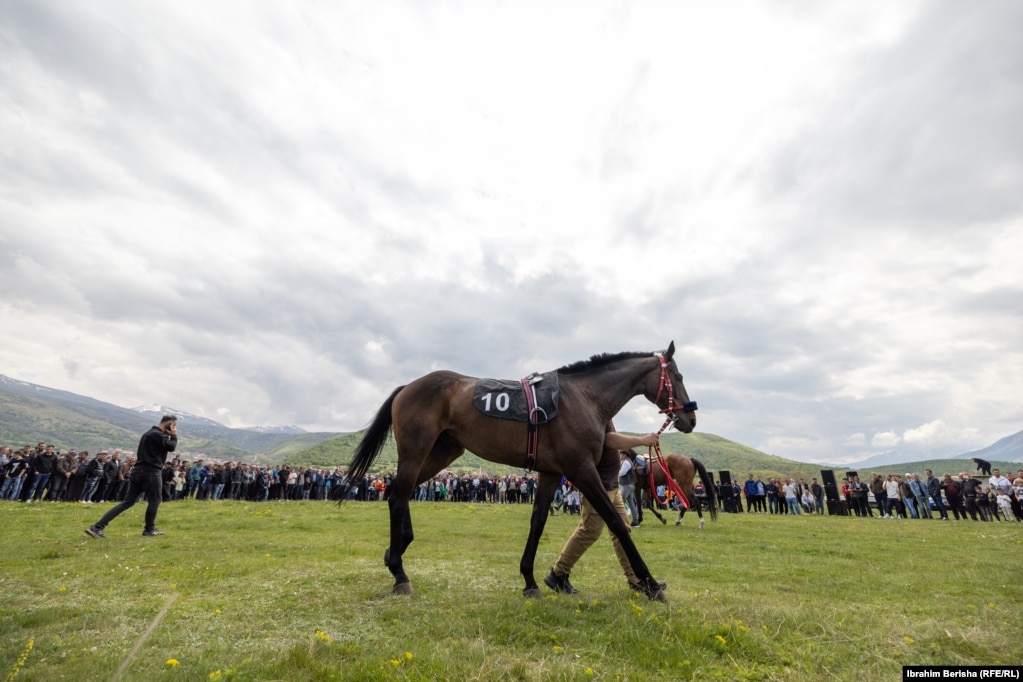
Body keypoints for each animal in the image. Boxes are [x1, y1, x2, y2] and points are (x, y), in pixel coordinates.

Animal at [343, 341, 695, 597]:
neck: (583, 398)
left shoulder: (551, 472)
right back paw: (399, 572)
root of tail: (407, 387)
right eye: (678, 377)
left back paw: (397, 549)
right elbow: (616, 522)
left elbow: (537, 522)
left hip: (442, 452)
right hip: (415, 451)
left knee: (399, 493)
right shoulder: (581, 468)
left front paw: (530, 580)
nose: (690, 418)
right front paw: (650, 583)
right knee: (397, 497)